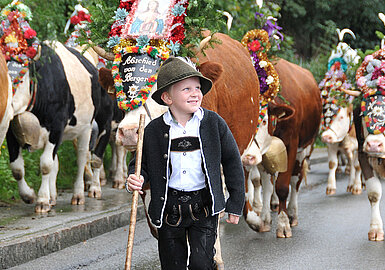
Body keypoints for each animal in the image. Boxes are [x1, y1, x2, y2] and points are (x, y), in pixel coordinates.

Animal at [6, 40, 113, 213]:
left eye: (21, 80)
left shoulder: (56, 127)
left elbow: (45, 164)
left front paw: (42, 200)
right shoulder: (11, 131)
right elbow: (17, 168)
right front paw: (29, 195)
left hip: (97, 124)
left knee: (87, 158)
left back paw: (86, 191)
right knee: (63, 162)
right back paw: (54, 197)